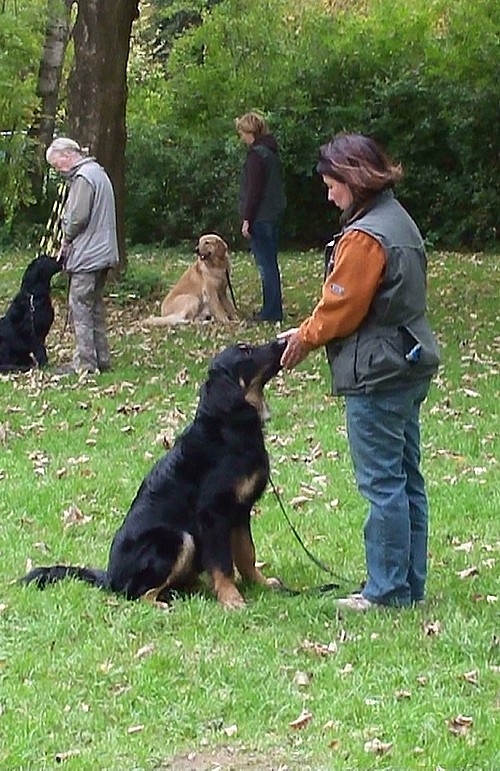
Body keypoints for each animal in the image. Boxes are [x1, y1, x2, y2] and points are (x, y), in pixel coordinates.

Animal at [21, 340, 286, 612]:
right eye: (245, 351)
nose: (282, 341)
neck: (227, 428)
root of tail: (109, 577)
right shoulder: (214, 514)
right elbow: (223, 564)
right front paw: (231, 599)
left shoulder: (240, 511)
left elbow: (246, 554)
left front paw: (261, 584)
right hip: (177, 539)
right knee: (136, 593)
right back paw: (164, 604)